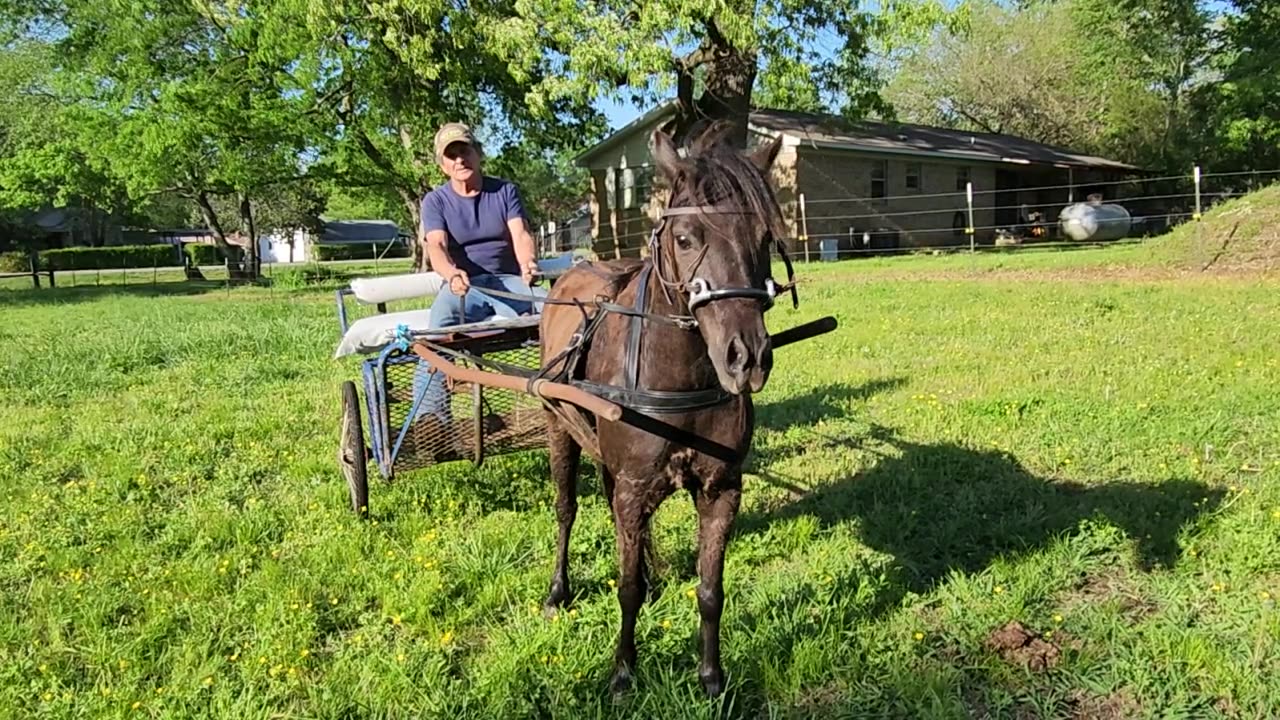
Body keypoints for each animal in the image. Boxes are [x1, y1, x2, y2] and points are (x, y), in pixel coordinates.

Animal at [532, 124, 788, 696]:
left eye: (764, 237)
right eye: (686, 237)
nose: (747, 358)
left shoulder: (721, 489)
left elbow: (711, 589)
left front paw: (712, 676)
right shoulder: (632, 487)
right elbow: (624, 588)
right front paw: (623, 671)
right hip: (558, 428)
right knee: (565, 510)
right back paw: (559, 590)